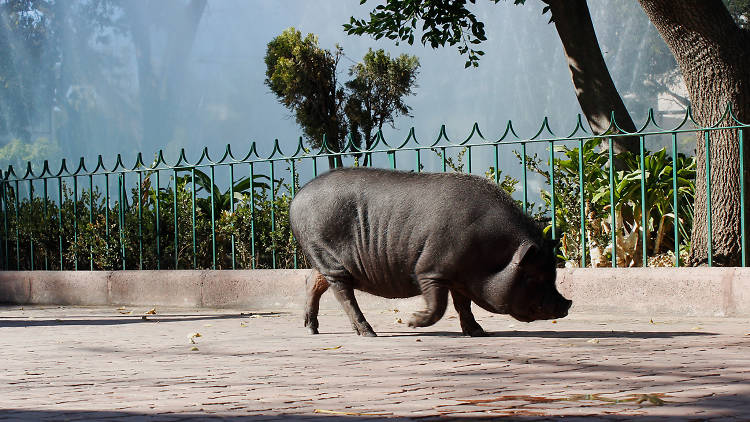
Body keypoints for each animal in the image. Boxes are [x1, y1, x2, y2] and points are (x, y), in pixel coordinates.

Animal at [290, 168, 572, 336]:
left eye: (553, 273)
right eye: (534, 276)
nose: (567, 305)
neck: (493, 255)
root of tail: (296, 197)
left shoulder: (460, 278)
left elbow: (463, 306)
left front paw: (478, 332)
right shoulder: (430, 270)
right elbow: (439, 304)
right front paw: (412, 322)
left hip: (322, 261)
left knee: (312, 281)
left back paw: (312, 330)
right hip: (327, 254)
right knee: (342, 294)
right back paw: (369, 332)